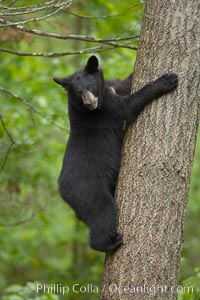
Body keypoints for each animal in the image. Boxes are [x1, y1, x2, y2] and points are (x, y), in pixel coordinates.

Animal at [53, 55, 178, 252]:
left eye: (90, 86)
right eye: (78, 92)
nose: (89, 104)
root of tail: (62, 190)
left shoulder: (112, 88)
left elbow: (125, 83)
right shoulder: (107, 108)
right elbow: (128, 107)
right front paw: (166, 80)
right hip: (87, 189)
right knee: (103, 211)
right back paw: (110, 242)